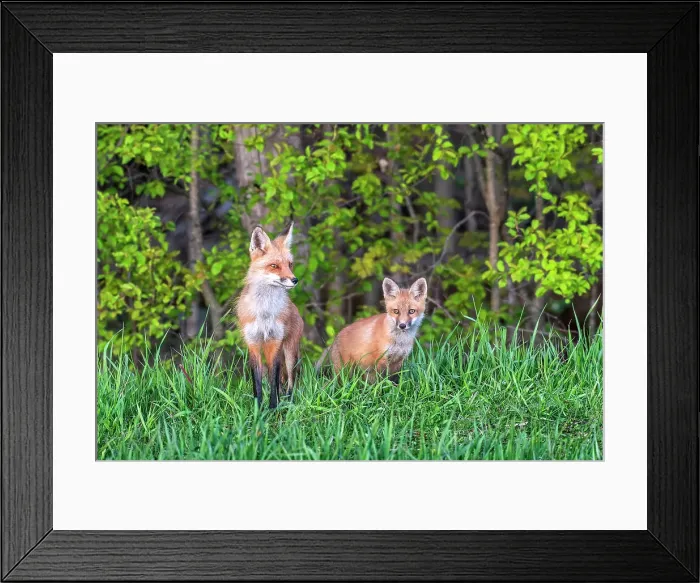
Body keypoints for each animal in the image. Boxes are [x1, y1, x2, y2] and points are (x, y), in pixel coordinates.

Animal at [236, 222, 303, 409]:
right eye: (274, 266)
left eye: (290, 264)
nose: (295, 280)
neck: (264, 312)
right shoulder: (252, 343)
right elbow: (258, 383)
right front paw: (258, 409)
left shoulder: (275, 342)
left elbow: (274, 382)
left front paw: (273, 408)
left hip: (289, 351)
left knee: (290, 382)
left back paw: (289, 403)